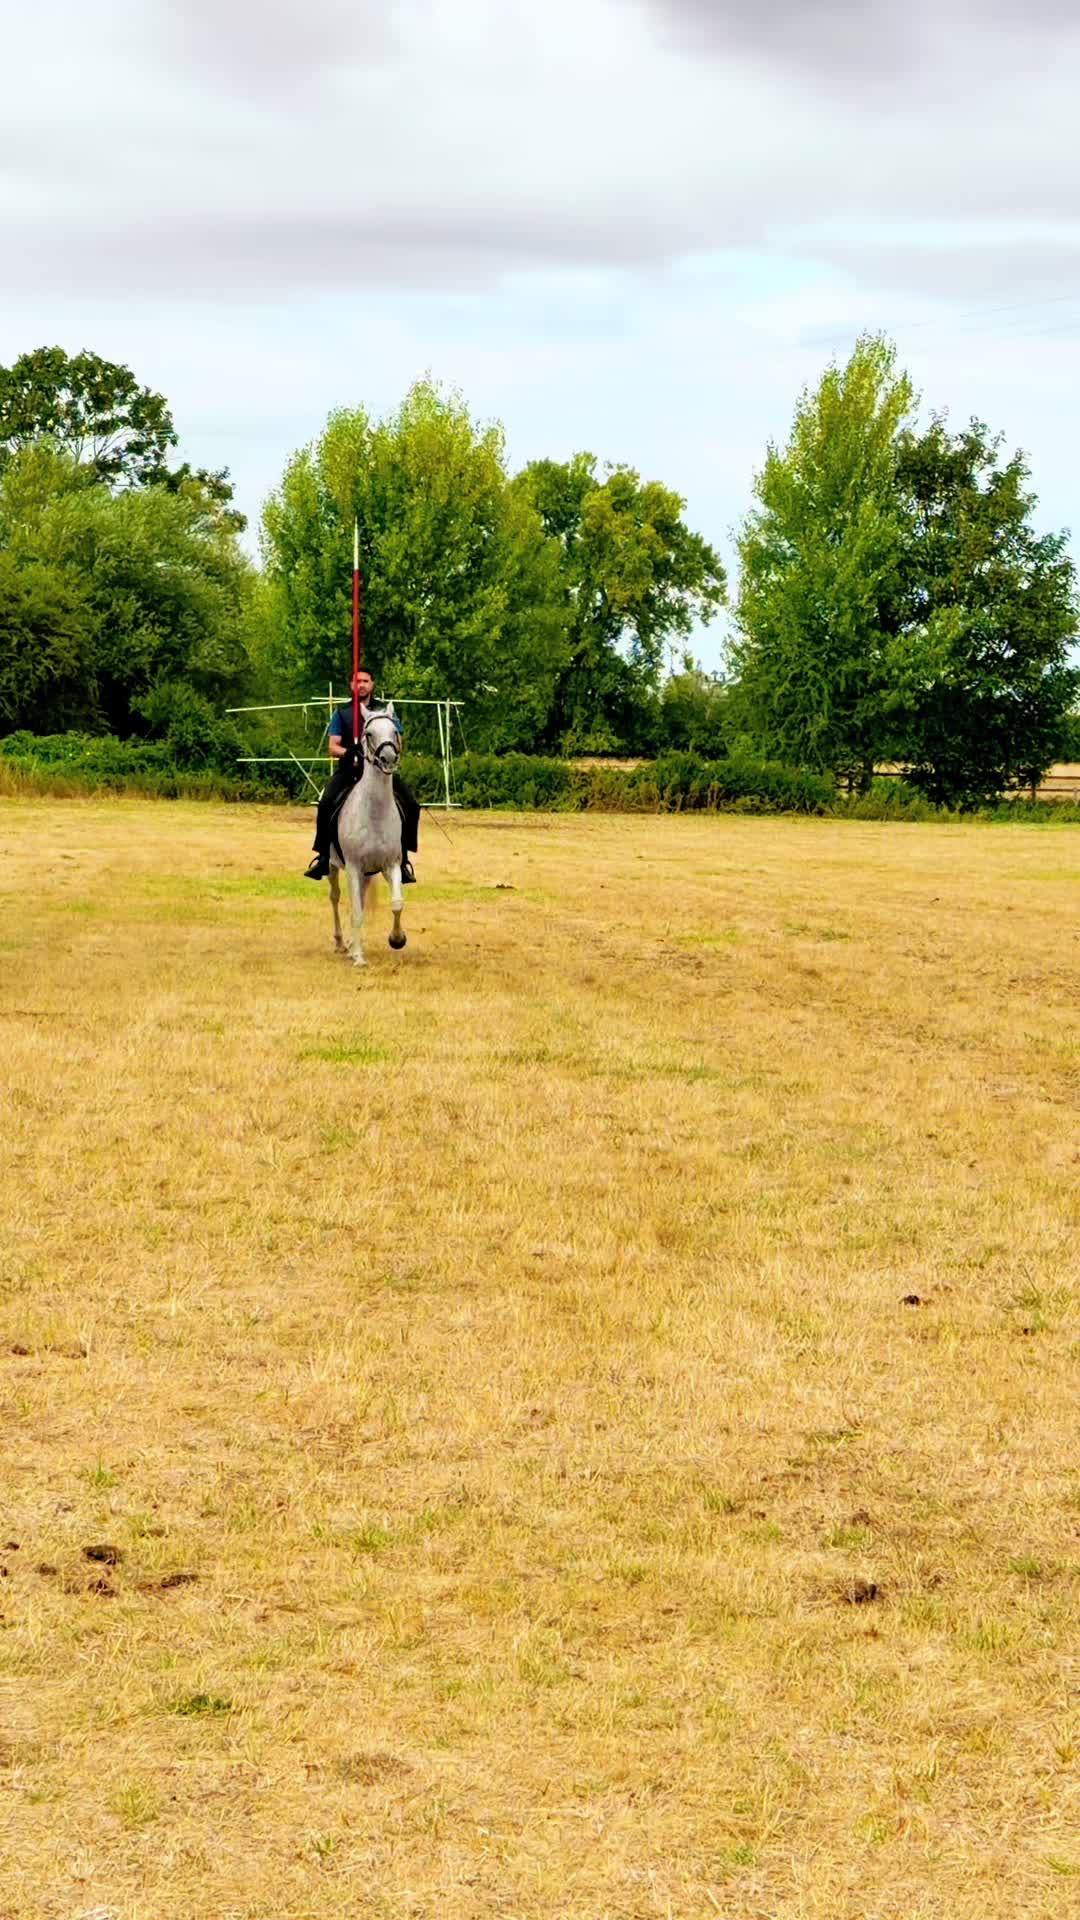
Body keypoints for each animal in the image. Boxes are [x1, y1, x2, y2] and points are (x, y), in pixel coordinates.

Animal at [327, 709, 408, 968]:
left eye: (394, 731)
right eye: (369, 733)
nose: (388, 758)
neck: (374, 813)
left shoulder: (391, 865)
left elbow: (397, 903)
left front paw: (397, 939)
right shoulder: (353, 866)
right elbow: (356, 911)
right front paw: (359, 958)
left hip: (366, 873)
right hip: (334, 866)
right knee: (335, 897)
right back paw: (342, 944)